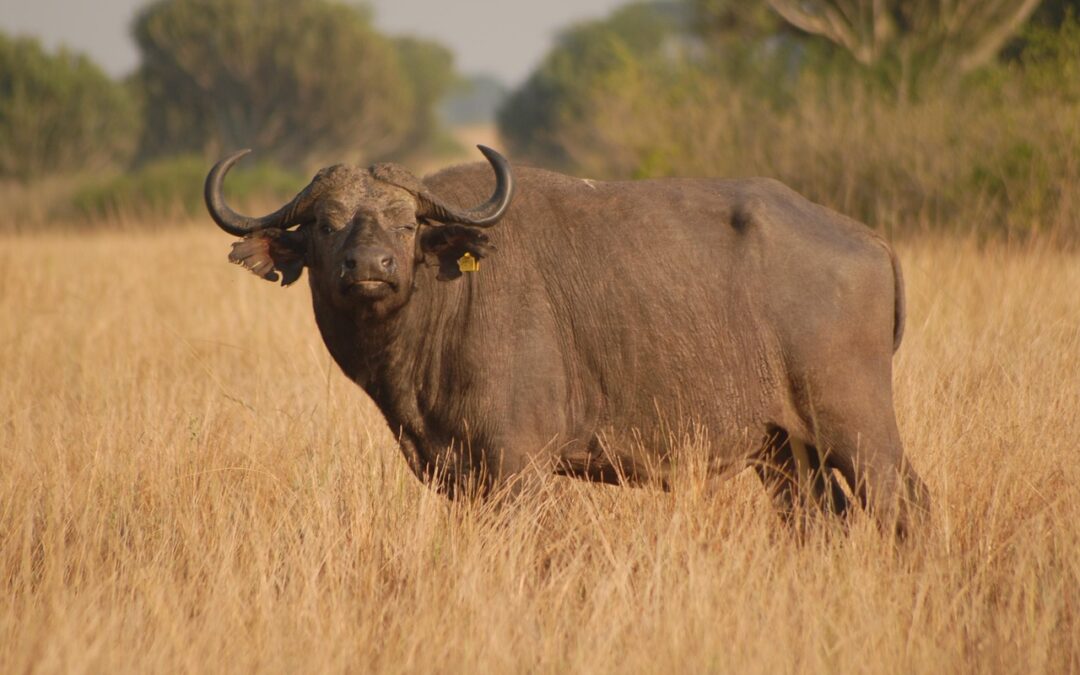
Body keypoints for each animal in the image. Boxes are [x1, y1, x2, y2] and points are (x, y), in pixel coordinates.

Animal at [208, 145, 928, 531]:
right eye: (327, 225)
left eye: (406, 224)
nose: (369, 266)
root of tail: (868, 238)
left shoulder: (516, 466)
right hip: (784, 453)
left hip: (857, 430)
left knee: (905, 504)